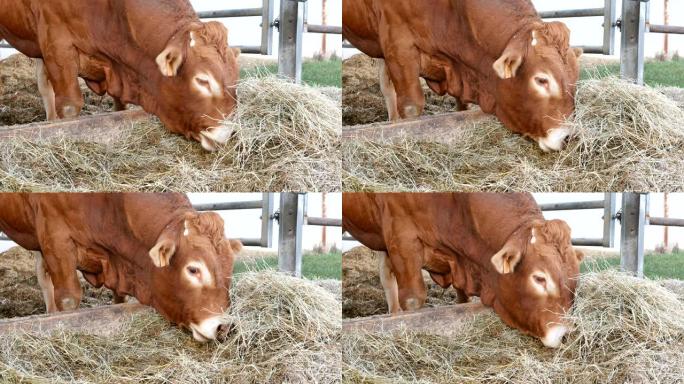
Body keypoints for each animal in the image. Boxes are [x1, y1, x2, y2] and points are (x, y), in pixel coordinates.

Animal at [0, 195, 242, 342]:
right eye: (193, 269)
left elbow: (120, 300)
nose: (223, 327)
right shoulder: (56, 236)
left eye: (230, 266)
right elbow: (69, 300)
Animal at [342, 0, 584, 152]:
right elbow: (412, 108)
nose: (568, 137)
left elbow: (462, 107)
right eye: (542, 79)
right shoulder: (398, 46)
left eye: (575, 79)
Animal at [344, 194, 584, 346]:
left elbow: (462, 300)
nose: (565, 334)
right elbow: (413, 300)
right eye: (540, 278)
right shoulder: (402, 239)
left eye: (575, 278)